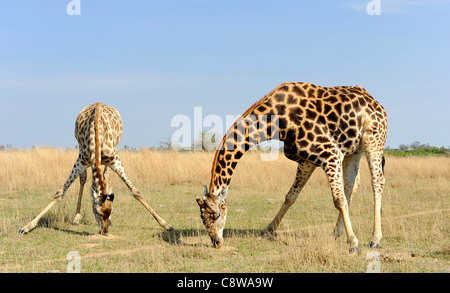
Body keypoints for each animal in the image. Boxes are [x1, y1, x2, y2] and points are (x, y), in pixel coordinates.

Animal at [18, 101, 172, 234]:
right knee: (85, 179)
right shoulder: (81, 161)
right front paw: (27, 226)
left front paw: (166, 224)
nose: (104, 231)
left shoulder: (115, 160)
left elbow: (135, 192)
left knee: (105, 177)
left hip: (110, 156)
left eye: (111, 211)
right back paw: (76, 218)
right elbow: (60, 192)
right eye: (97, 212)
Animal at [195, 81, 388, 252]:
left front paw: (354, 243)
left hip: (373, 139)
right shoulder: (308, 160)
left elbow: (338, 199)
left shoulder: (330, 153)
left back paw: (375, 239)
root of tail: (376, 102)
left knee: (377, 182)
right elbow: (290, 196)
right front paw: (268, 229)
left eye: (216, 214)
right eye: (202, 218)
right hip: (353, 150)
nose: (216, 242)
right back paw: (336, 233)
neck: (277, 120)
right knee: (352, 184)